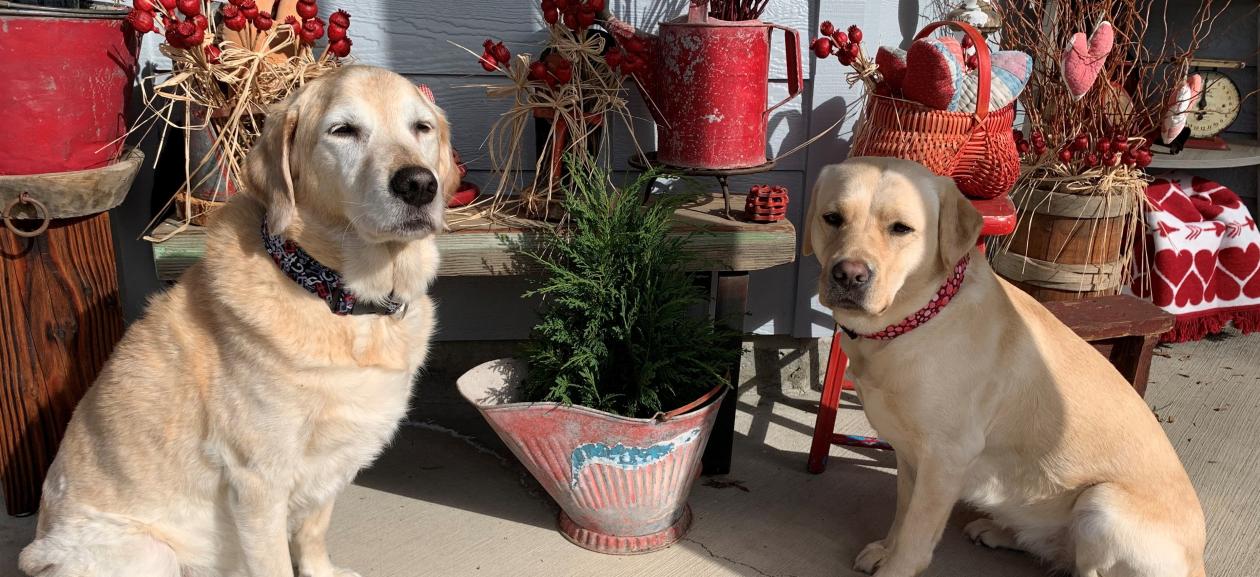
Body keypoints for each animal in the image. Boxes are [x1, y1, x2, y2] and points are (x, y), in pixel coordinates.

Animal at [19, 65, 458, 577]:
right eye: (343, 130)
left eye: (421, 127)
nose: (418, 184)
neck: (335, 294)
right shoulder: (258, 482)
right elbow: (275, 563)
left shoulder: (332, 463)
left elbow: (312, 533)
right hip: (148, 551)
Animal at [804, 157, 1205, 577]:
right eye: (832, 218)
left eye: (901, 228)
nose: (849, 274)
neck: (912, 323)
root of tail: (1198, 563)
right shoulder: (909, 451)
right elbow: (901, 515)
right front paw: (885, 549)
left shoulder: (946, 456)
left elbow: (915, 537)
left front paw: (894, 568)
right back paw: (998, 532)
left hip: (1101, 504)